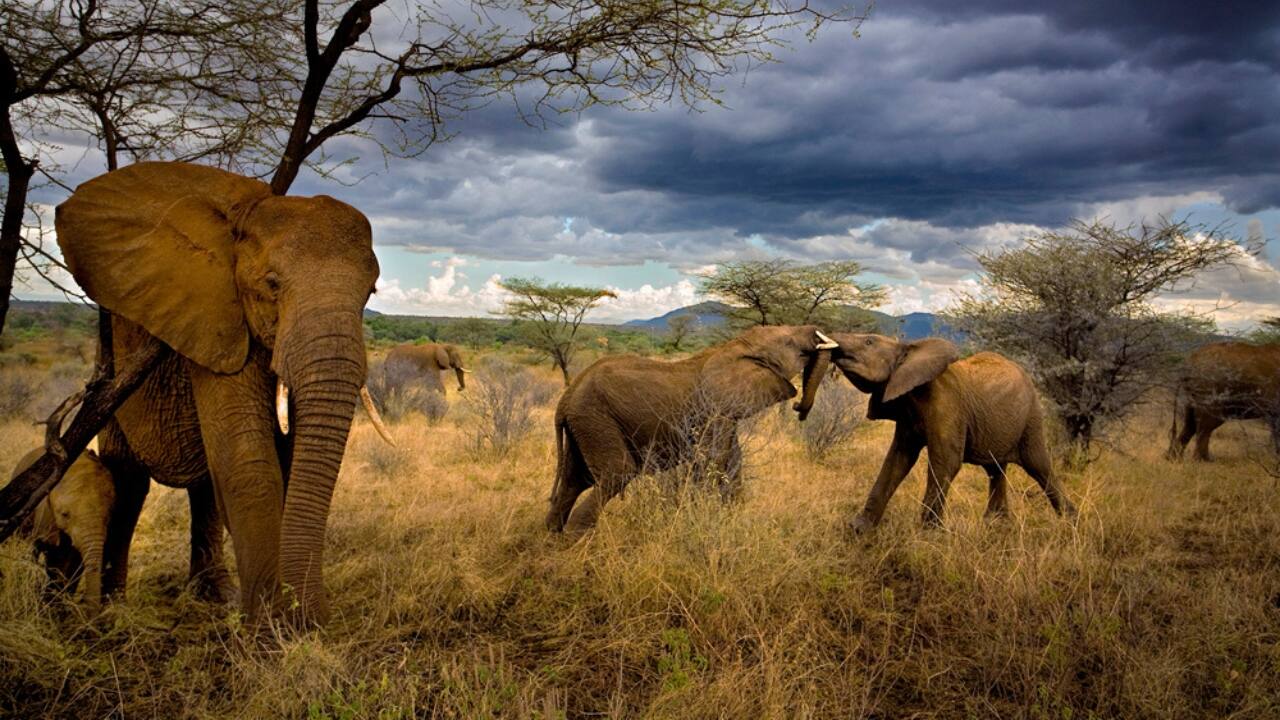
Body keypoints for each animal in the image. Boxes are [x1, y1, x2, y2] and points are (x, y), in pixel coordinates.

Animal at [14, 447, 116, 611]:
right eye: (65, 514)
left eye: (109, 515)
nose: (83, 603)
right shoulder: (42, 513)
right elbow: (37, 551)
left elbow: (72, 562)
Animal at [55, 161, 392, 626]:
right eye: (272, 284)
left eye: (369, 294)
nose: (320, 617)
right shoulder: (218, 321)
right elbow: (249, 461)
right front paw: (270, 627)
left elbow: (285, 461)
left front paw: (280, 618)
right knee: (128, 482)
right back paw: (114, 609)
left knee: (203, 488)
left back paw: (215, 598)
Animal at [545, 325, 839, 535]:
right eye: (789, 343)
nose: (799, 408)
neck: (735, 345)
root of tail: (566, 397)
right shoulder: (713, 411)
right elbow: (712, 462)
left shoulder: (724, 414)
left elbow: (732, 464)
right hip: (595, 418)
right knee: (618, 474)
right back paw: (577, 543)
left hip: (584, 424)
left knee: (575, 480)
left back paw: (552, 538)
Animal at [827, 333, 1075, 532]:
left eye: (869, 341)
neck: (910, 350)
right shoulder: (908, 411)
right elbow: (897, 459)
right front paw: (858, 530)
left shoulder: (946, 403)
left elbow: (946, 461)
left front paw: (927, 536)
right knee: (996, 469)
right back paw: (995, 524)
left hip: (1031, 418)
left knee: (1038, 465)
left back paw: (1070, 523)